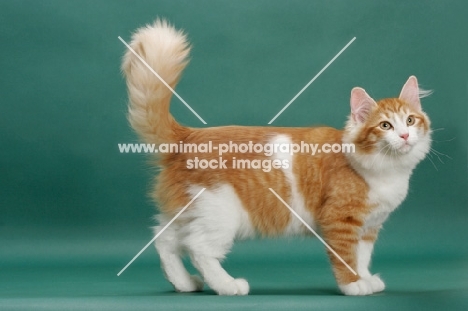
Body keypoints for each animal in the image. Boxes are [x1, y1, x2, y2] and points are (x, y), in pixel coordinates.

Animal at [121, 19, 432, 298]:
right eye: (385, 126)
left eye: (410, 120)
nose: (405, 135)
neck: (387, 169)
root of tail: (189, 135)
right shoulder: (340, 220)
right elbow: (346, 257)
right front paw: (353, 285)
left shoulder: (368, 228)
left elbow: (362, 257)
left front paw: (365, 278)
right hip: (219, 213)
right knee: (199, 249)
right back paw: (227, 286)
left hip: (188, 212)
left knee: (164, 241)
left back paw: (184, 283)